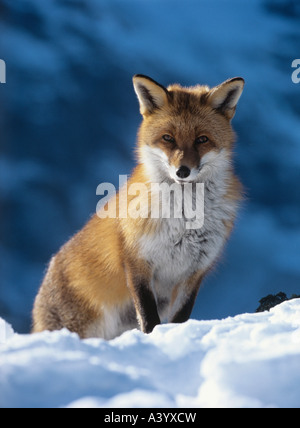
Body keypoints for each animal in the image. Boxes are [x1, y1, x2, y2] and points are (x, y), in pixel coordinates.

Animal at [32, 75, 244, 340]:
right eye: (168, 138)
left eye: (202, 139)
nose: (182, 171)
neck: (184, 221)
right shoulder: (137, 262)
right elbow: (148, 316)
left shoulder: (194, 273)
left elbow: (180, 318)